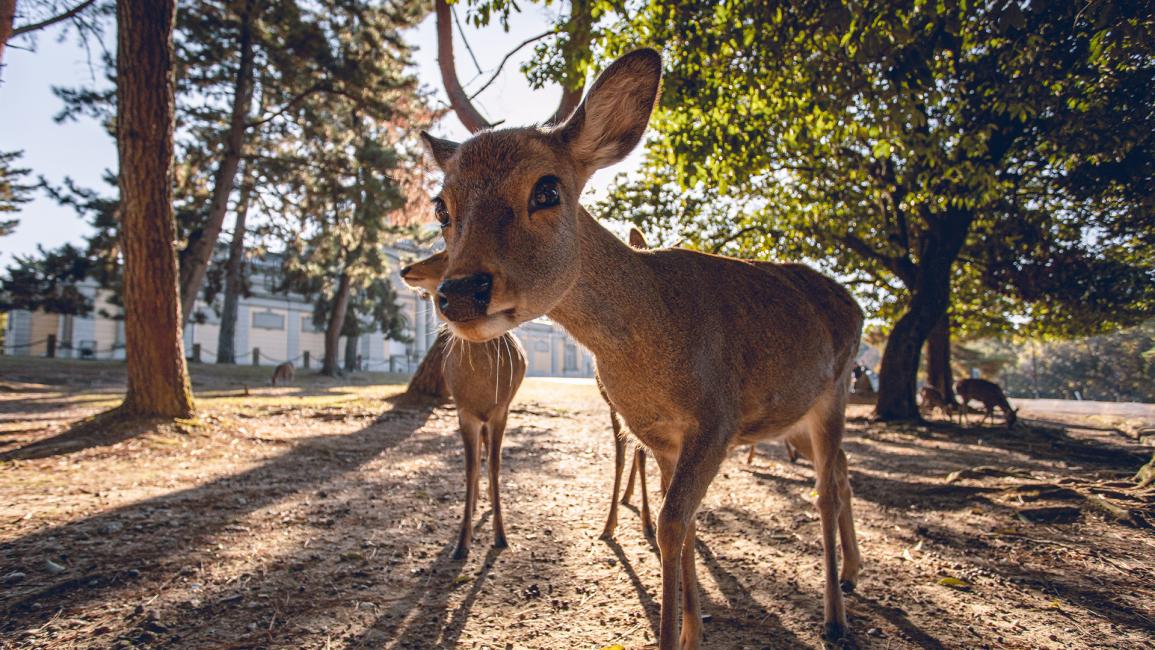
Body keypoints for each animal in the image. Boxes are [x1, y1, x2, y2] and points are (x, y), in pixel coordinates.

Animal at [397, 251, 524, 561]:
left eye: (445, 253)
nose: (406, 269)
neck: (480, 386)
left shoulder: (501, 410)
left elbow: (495, 465)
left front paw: (501, 536)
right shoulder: (463, 411)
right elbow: (469, 468)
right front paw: (461, 543)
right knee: (478, 455)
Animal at [420, 48, 863, 646]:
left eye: (547, 189)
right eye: (441, 207)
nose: (461, 292)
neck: (651, 345)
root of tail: (856, 305)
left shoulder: (717, 419)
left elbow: (673, 525)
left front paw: (674, 633)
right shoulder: (656, 434)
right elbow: (685, 521)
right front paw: (694, 630)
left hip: (835, 391)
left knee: (825, 489)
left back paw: (836, 618)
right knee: (841, 471)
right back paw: (852, 573)